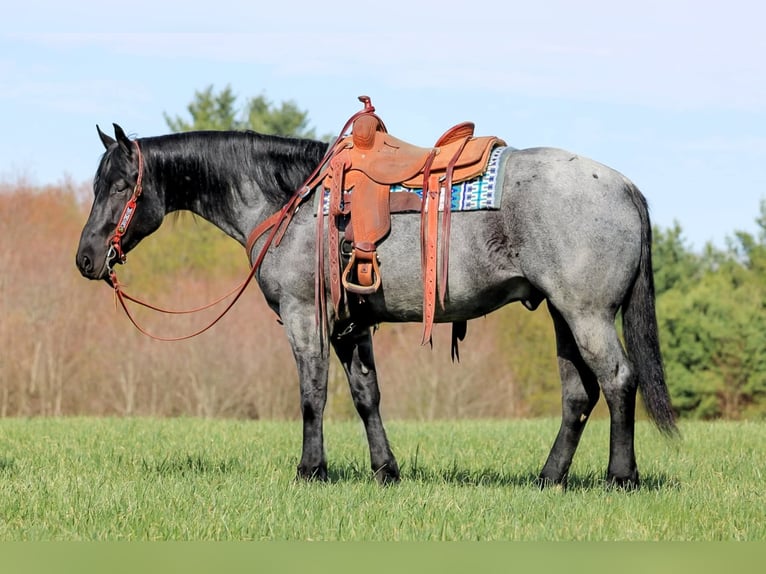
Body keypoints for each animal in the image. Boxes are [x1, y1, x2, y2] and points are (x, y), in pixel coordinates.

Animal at [76, 119, 677, 489]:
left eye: (121, 184)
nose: (85, 258)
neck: (290, 200)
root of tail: (624, 187)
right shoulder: (351, 326)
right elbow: (367, 396)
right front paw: (385, 470)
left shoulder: (305, 318)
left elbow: (312, 395)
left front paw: (311, 469)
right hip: (562, 315)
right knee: (579, 394)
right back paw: (549, 478)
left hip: (586, 314)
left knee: (619, 381)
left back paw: (621, 477)